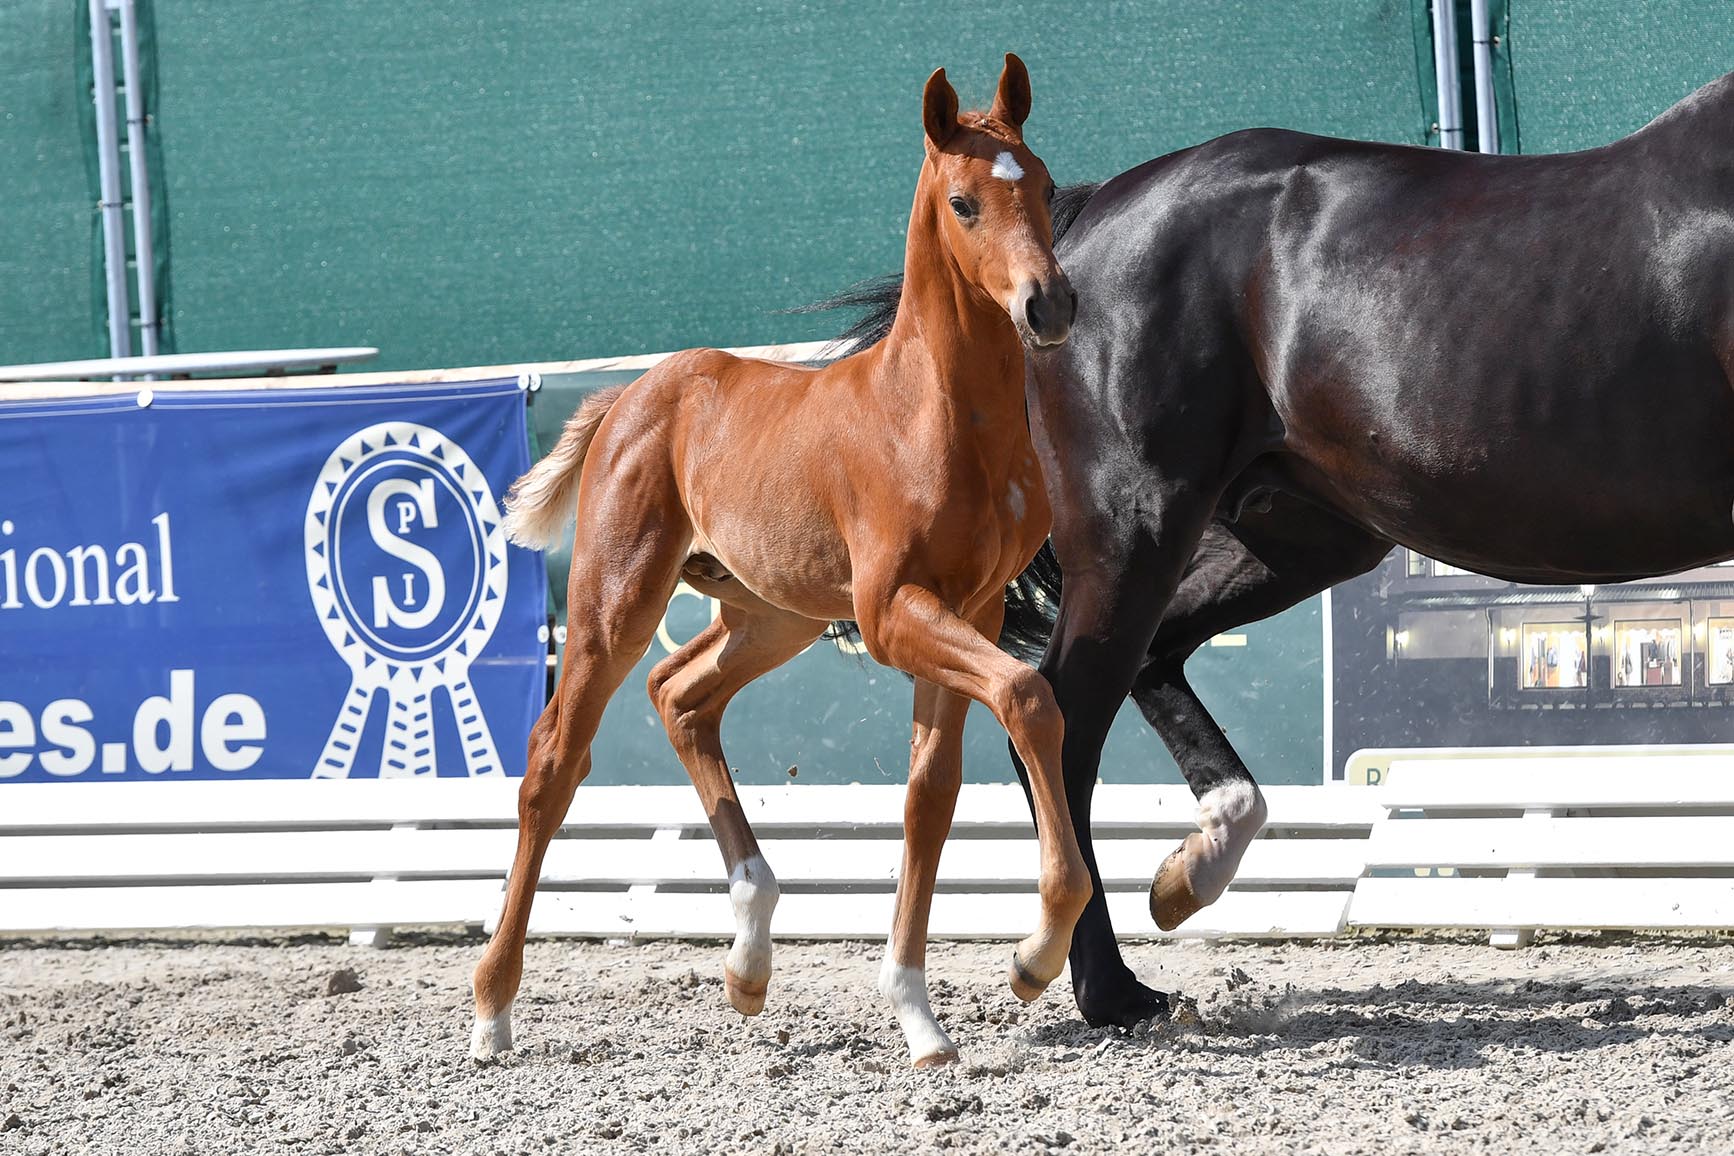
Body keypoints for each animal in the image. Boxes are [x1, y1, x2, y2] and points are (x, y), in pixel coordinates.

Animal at [475, 54, 1082, 1067]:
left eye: (1039, 184)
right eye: (963, 203)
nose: (1050, 304)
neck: (934, 417)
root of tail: (630, 396)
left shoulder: (978, 607)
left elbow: (931, 793)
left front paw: (919, 1013)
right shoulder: (891, 613)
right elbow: (1030, 698)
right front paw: (1034, 956)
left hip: (773, 616)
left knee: (681, 695)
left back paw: (750, 956)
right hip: (616, 600)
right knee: (555, 760)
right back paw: (492, 1008)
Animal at [821, 74, 1734, 1032]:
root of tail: (1075, 234)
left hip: (1299, 535)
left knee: (1146, 664)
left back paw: (1191, 872)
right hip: (1136, 526)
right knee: (1064, 718)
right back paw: (1102, 984)